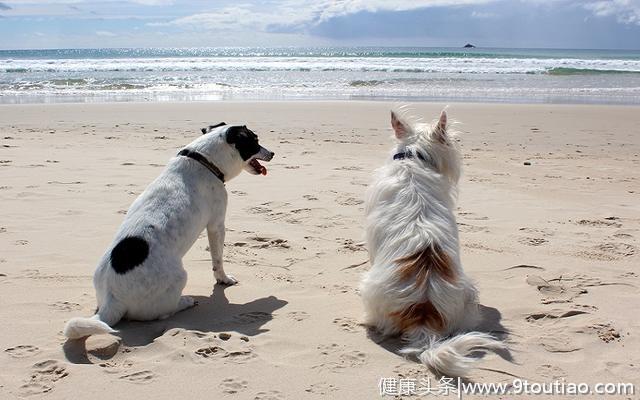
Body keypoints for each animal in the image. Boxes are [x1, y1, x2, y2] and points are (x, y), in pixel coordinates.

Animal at [63, 122, 274, 338]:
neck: (204, 160)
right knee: (163, 312)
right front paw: (223, 279)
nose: (273, 153)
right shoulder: (216, 225)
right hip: (179, 277)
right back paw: (185, 302)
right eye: (255, 141)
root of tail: (113, 299)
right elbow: (218, 260)